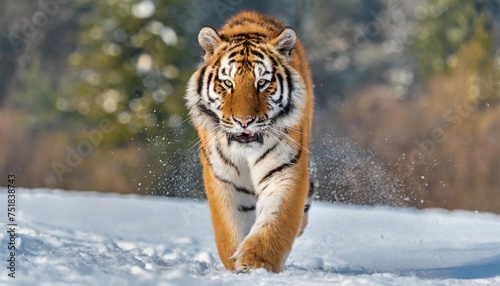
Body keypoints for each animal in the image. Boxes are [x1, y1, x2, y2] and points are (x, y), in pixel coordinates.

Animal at [186, 10, 314, 272]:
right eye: (228, 83)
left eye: (262, 83)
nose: (244, 121)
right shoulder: (222, 175)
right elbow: (230, 226)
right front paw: (235, 265)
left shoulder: (285, 169)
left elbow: (275, 222)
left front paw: (255, 264)